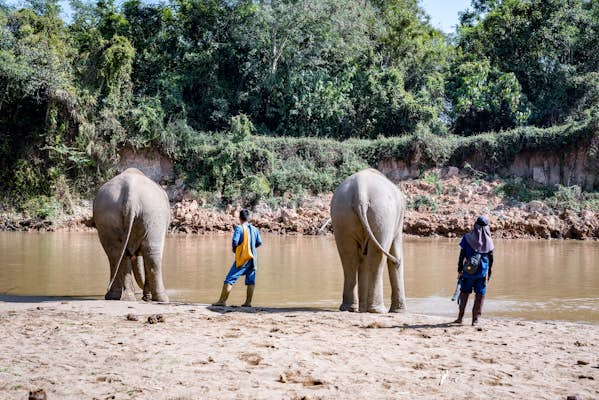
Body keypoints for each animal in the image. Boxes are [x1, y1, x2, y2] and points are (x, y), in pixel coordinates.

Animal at [92, 167, 171, 302]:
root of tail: (131, 196)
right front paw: (147, 298)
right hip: (153, 215)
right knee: (151, 253)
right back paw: (162, 299)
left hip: (108, 217)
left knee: (116, 254)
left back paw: (118, 297)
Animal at [328, 169, 408, 312]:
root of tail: (361, 191)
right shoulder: (398, 223)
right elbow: (395, 253)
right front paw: (400, 312)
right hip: (383, 216)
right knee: (377, 259)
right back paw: (378, 310)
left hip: (342, 216)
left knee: (348, 258)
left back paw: (350, 308)